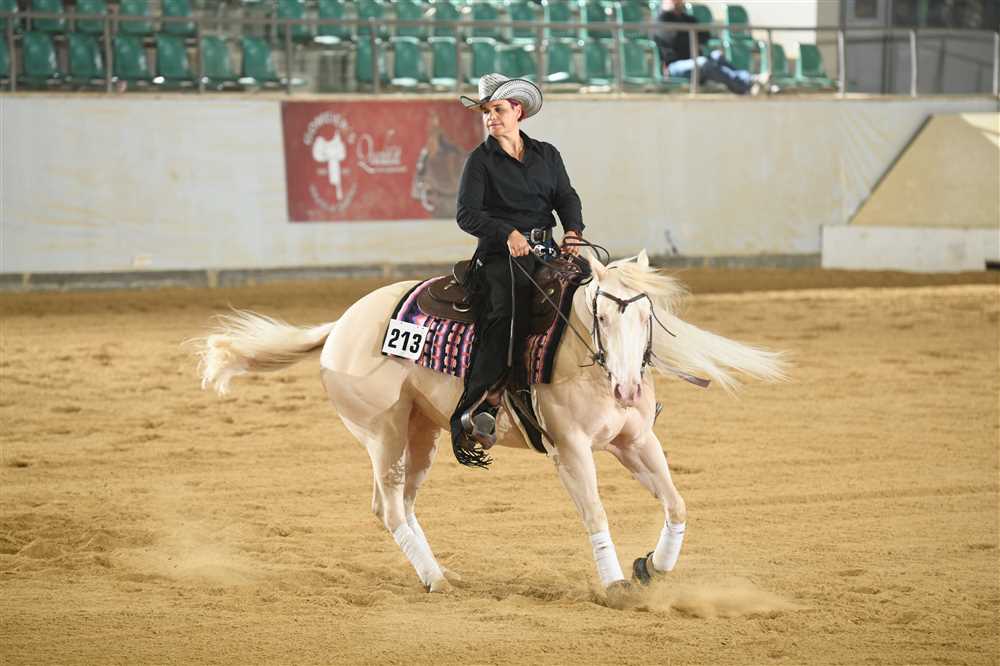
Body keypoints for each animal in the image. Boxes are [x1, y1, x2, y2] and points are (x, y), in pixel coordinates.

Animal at [197, 250, 785, 597]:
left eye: (646, 315)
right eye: (603, 315)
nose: (627, 389)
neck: (574, 351)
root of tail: (341, 324)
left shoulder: (635, 440)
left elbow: (676, 503)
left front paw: (651, 568)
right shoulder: (571, 451)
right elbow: (595, 513)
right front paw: (615, 582)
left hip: (422, 433)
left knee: (403, 504)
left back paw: (439, 573)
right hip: (383, 434)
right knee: (389, 508)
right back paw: (436, 580)